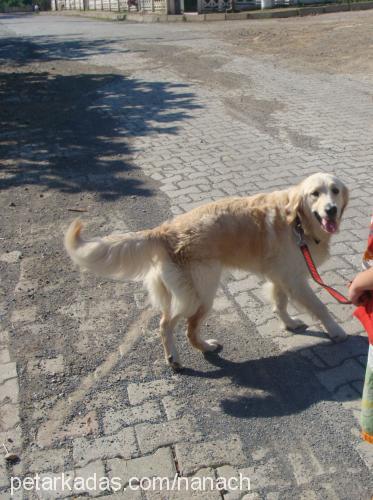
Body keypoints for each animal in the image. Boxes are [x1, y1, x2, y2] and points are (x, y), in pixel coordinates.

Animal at [64, 174, 348, 370]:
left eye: (334, 191)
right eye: (315, 194)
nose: (331, 209)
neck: (297, 221)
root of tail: (163, 231)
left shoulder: (282, 276)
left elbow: (280, 302)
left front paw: (289, 323)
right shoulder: (294, 279)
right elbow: (319, 306)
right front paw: (335, 330)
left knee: (167, 322)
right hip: (200, 295)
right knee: (180, 327)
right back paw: (192, 351)